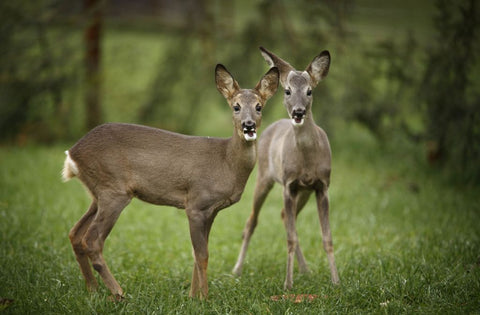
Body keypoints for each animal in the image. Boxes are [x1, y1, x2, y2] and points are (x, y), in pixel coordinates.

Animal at [64, 63, 282, 302]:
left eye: (259, 107)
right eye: (236, 106)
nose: (248, 125)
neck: (226, 162)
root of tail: (72, 154)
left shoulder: (212, 210)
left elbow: (198, 253)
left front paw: (192, 296)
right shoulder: (196, 203)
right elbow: (202, 254)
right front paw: (204, 298)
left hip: (98, 193)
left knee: (75, 233)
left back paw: (92, 291)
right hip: (114, 191)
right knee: (92, 240)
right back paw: (118, 292)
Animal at [233, 47, 342, 292]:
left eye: (310, 91)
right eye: (287, 90)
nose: (298, 112)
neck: (307, 161)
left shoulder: (322, 186)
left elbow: (327, 238)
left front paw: (336, 281)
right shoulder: (288, 184)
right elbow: (290, 238)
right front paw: (288, 284)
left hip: (304, 192)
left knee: (284, 216)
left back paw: (306, 269)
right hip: (264, 178)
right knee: (251, 221)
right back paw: (237, 270)